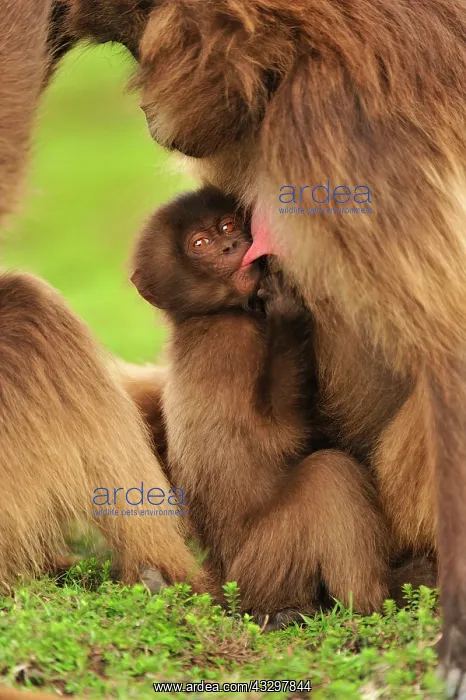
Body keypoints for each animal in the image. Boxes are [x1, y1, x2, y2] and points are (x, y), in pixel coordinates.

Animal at [130, 184, 389, 624]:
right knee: (329, 475)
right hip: (260, 569)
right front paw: (288, 310)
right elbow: (280, 434)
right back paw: (367, 610)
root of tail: (221, 582)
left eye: (227, 226)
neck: (212, 314)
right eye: (200, 244)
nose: (232, 245)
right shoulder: (231, 346)